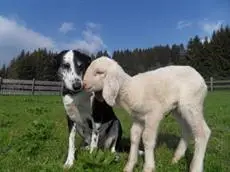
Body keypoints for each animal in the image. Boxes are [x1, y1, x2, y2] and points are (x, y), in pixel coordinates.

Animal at [82, 56, 211, 172]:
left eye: (99, 72)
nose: (84, 85)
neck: (130, 89)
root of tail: (199, 76)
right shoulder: (138, 118)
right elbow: (134, 137)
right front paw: (129, 166)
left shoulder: (153, 114)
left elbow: (147, 138)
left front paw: (148, 167)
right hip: (178, 109)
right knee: (186, 130)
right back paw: (176, 158)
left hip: (192, 103)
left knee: (203, 132)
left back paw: (195, 167)